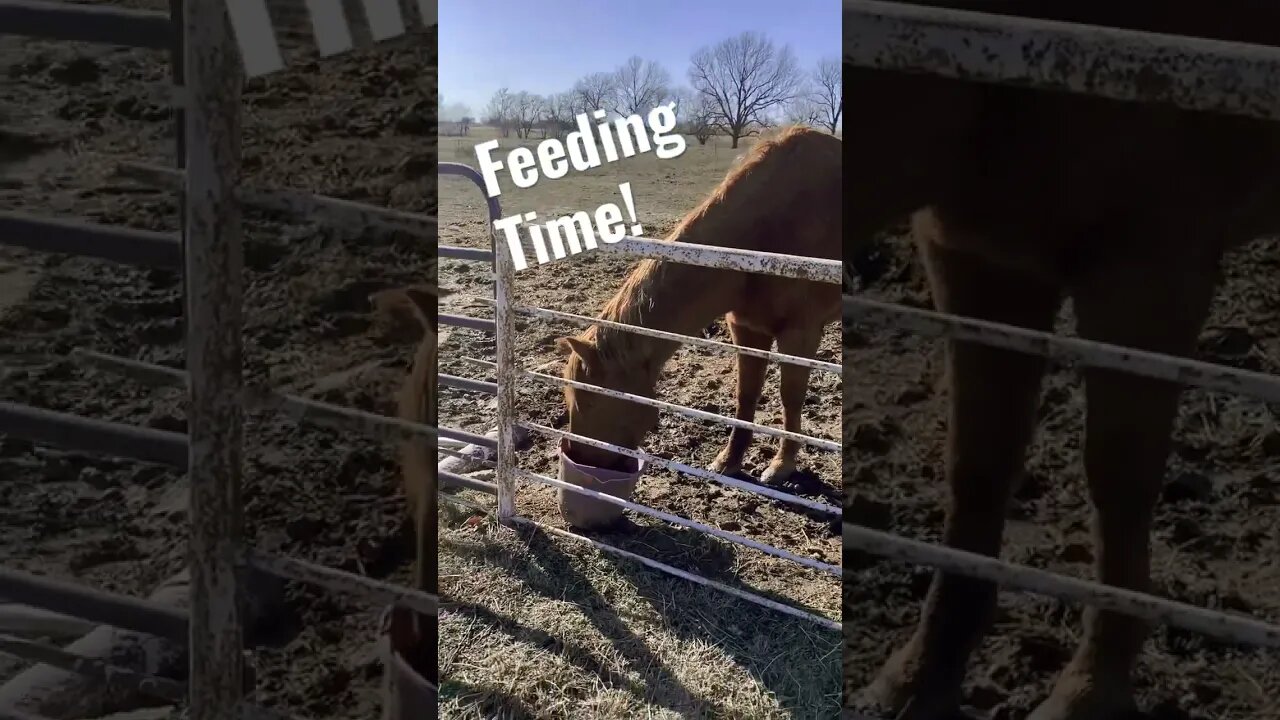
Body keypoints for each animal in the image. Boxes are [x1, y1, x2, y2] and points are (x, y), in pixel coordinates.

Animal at [558, 124, 839, 527]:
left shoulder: (800, 334)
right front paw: (729, 461)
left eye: (590, 400)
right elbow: (745, 395)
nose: (581, 461)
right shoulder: (747, 328)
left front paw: (781, 466)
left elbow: (791, 398)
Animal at [849, 2, 1280, 712]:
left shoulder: (1152, 267)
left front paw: (1087, 694)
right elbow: (977, 461)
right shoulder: (977, 251)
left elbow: (1121, 479)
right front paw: (911, 681)